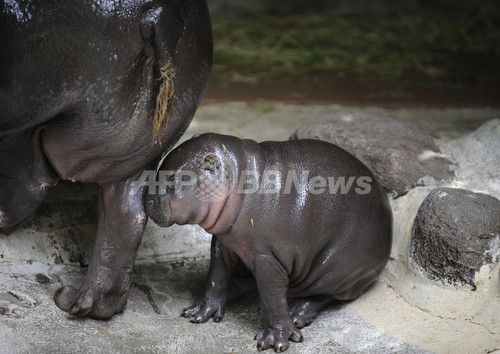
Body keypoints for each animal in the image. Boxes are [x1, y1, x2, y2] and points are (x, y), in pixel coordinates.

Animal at [0, 0, 211, 320]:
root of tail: (162, 16)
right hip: (135, 152)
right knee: (127, 214)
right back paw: (81, 304)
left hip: (29, 119)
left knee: (28, 183)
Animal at [146, 132, 392, 352]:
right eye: (158, 170)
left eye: (173, 179)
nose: (145, 198)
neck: (238, 176)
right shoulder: (224, 242)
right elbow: (216, 277)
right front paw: (198, 313)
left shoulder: (266, 257)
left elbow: (271, 298)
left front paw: (274, 341)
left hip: (335, 269)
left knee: (325, 295)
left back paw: (297, 313)